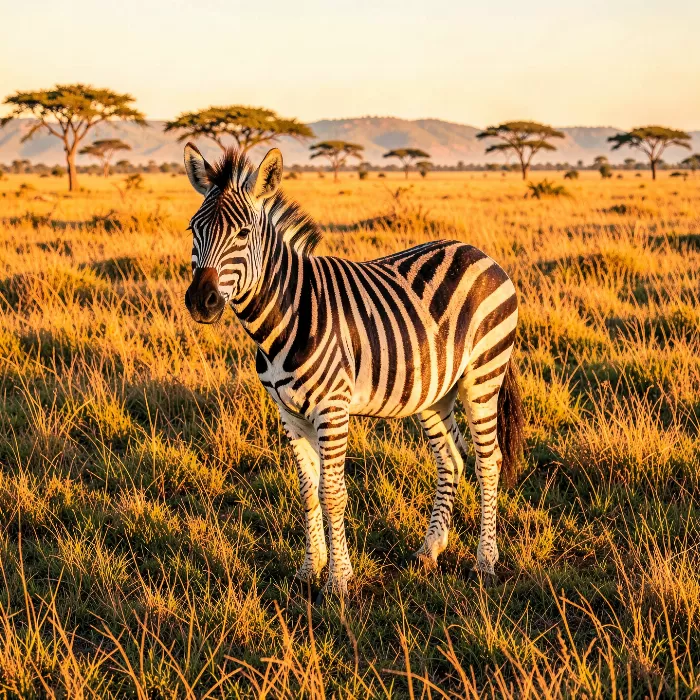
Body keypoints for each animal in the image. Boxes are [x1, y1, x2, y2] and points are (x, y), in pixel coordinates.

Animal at [183, 143, 524, 601]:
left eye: (242, 234)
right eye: (193, 229)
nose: (200, 301)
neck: (288, 312)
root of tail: (479, 252)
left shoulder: (333, 408)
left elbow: (332, 493)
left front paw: (338, 582)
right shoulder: (288, 413)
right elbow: (308, 491)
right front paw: (309, 570)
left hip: (483, 375)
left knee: (489, 461)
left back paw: (485, 562)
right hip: (434, 390)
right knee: (451, 458)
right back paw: (431, 549)